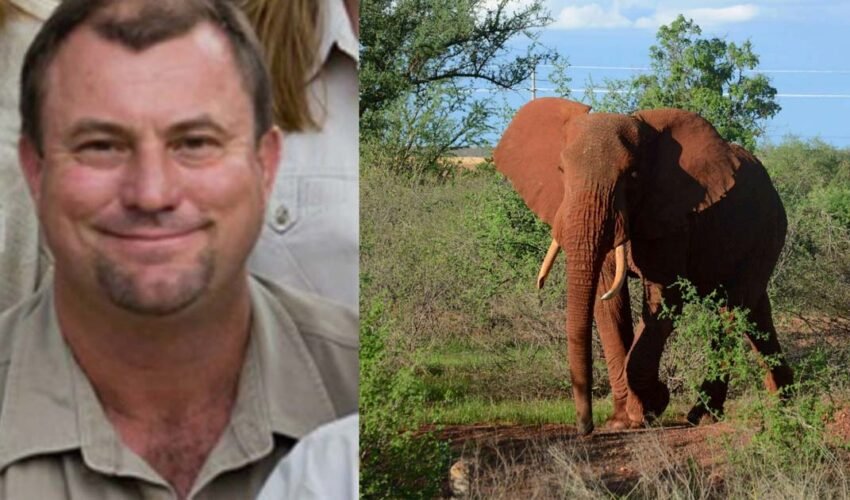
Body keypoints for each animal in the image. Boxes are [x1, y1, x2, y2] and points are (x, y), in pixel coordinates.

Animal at [493, 97, 793, 435]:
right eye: (560, 170)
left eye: (633, 176)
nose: (585, 427)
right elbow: (607, 301)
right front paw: (621, 420)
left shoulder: (672, 218)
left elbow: (664, 298)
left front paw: (650, 406)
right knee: (756, 311)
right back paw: (784, 401)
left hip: (766, 230)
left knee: (731, 309)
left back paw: (702, 416)